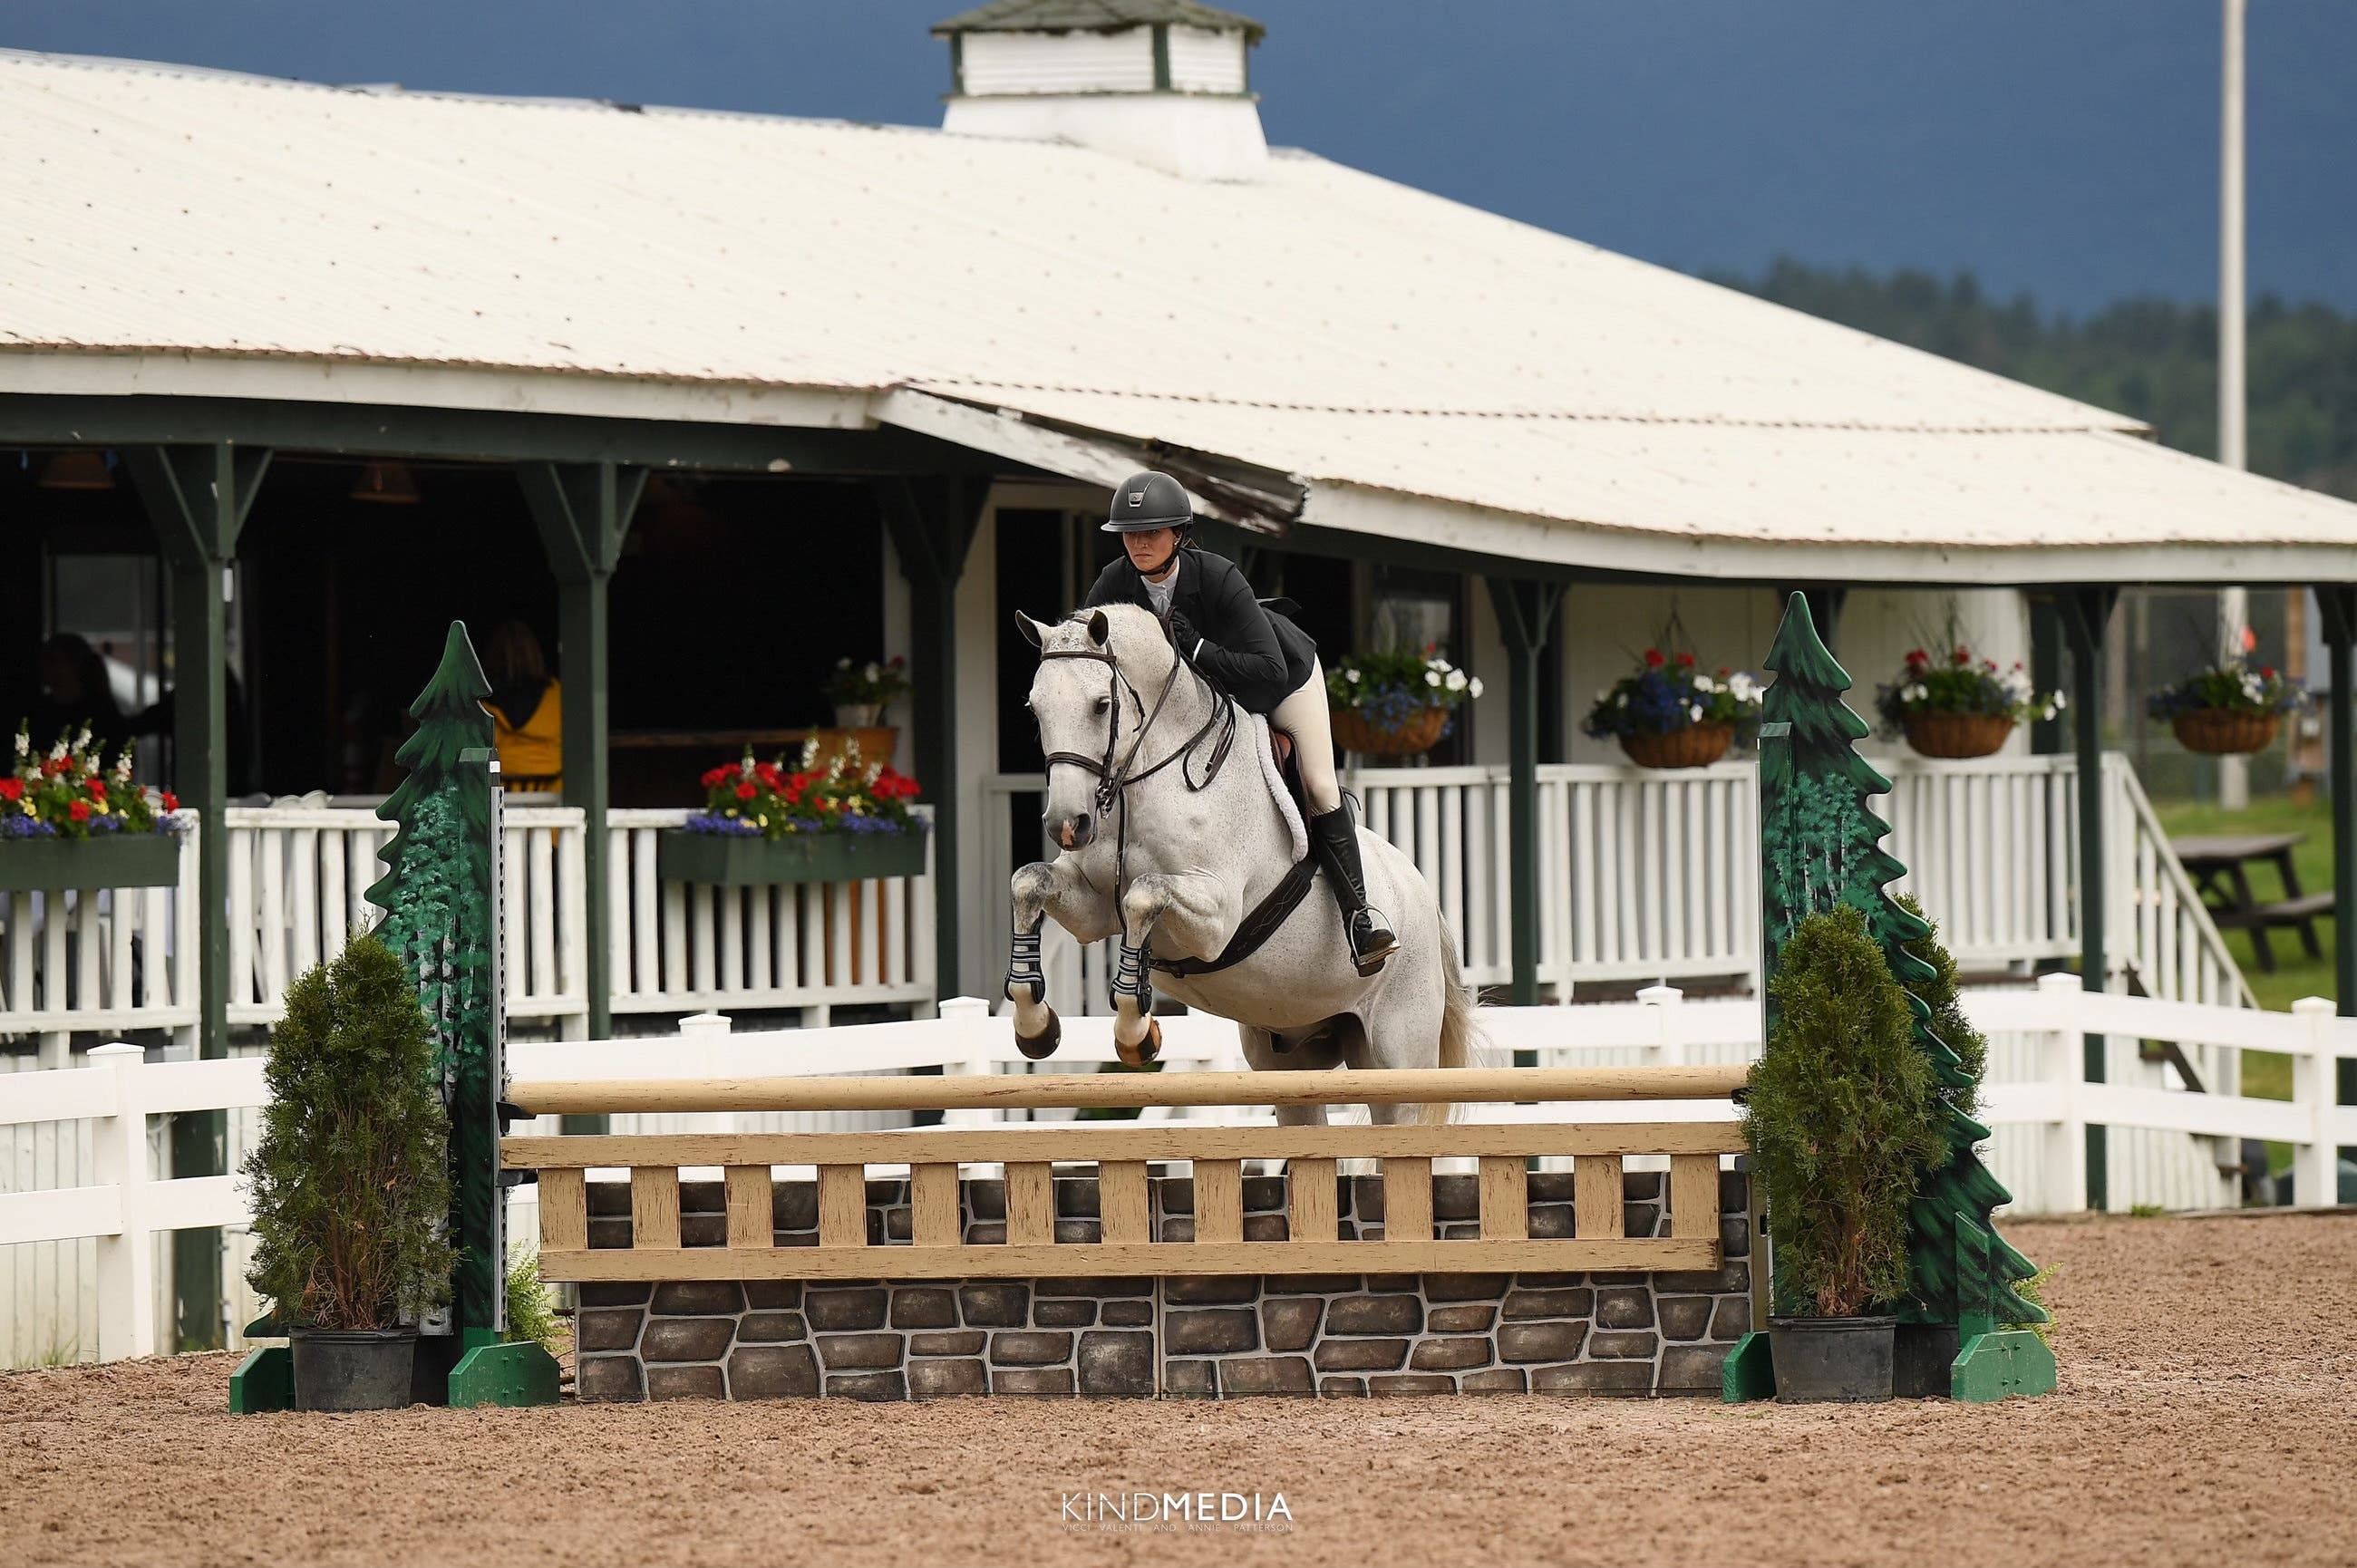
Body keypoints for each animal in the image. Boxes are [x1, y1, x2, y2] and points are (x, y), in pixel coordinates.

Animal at [1004, 605, 1477, 1125]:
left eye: (1101, 705)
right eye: (1035, 708)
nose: (1067, 825)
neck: (1145, 782)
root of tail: (1426, 897)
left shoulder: (1215, 919)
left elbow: (1144, 893)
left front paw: (1135, 1033)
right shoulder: (1093, 910)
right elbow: (1028, 881)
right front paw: (1035, 1024)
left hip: (1397, 1058)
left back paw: (1370, 936)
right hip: (1289, 1058)